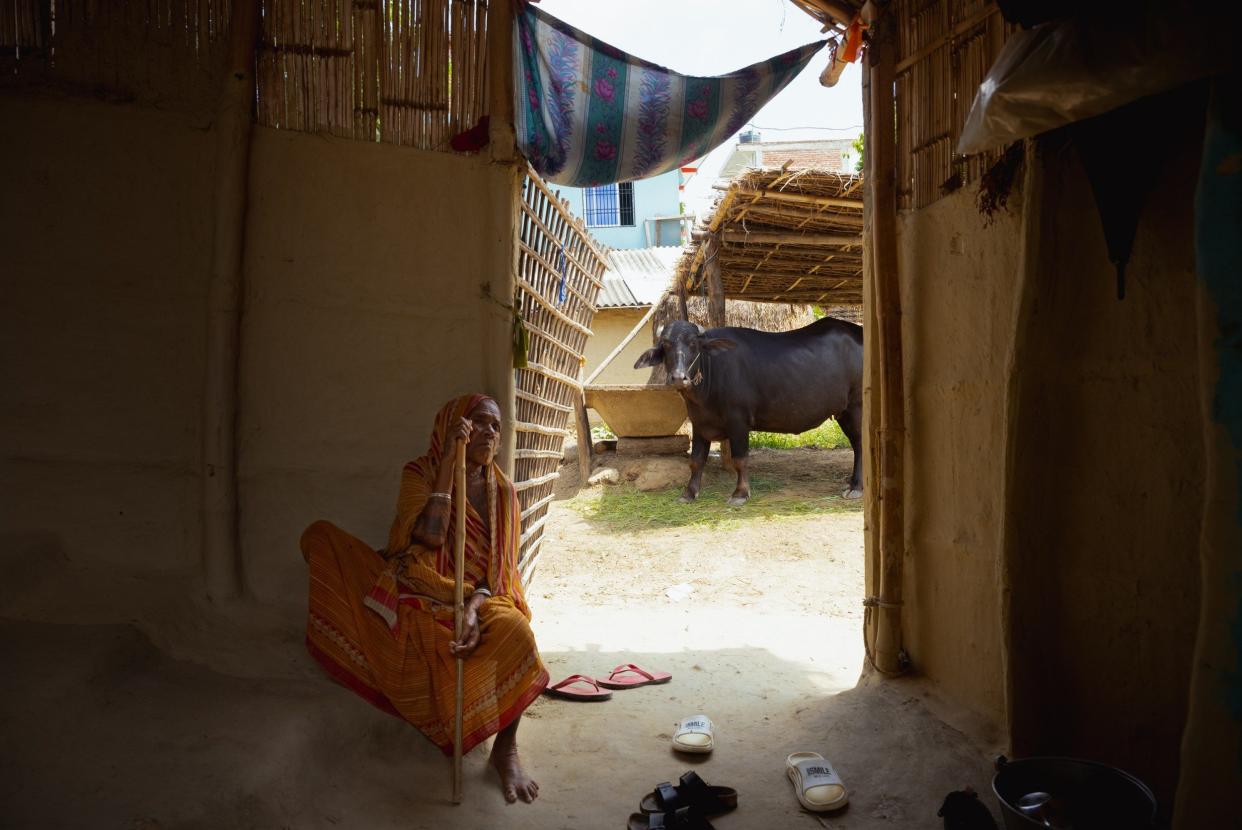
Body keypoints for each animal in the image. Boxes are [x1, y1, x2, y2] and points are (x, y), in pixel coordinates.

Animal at [630, 320, 864, 506]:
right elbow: (696, 460)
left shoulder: (738, 421)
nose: (679, 377)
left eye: (693, 344)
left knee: (860, 444)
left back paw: (857, 487)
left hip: (857, 407)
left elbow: (740, 459)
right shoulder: (699, 423)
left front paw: (740, 493)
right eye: (666, 345)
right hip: (843, 413)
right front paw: (689, 493)